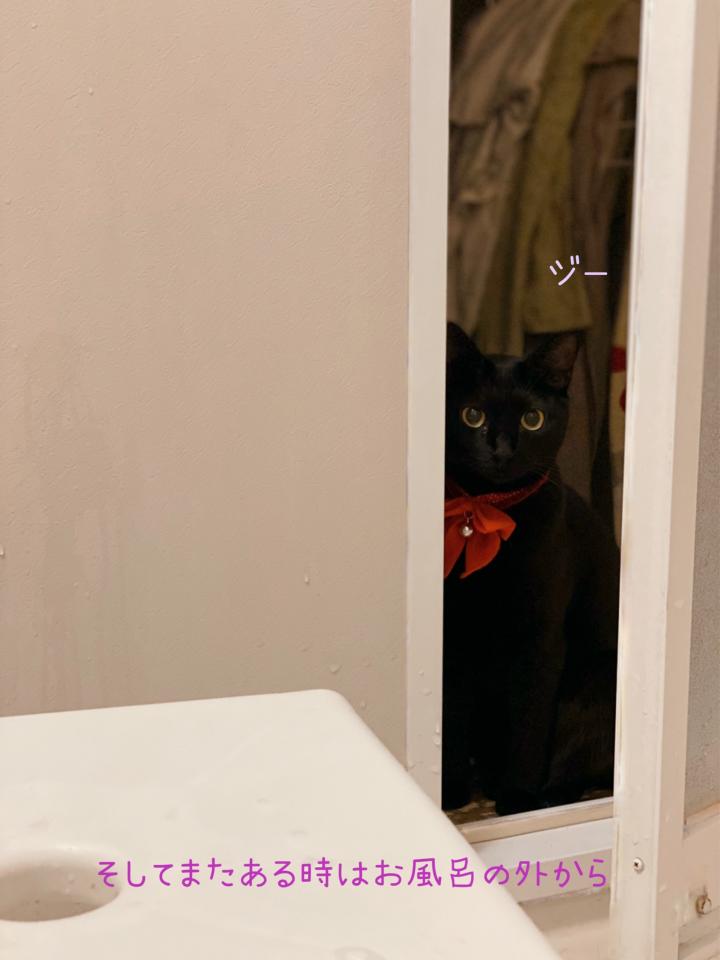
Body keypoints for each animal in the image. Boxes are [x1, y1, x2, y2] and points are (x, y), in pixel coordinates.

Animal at [442, 322, 619, 816]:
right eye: (472, 415)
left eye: (532, 420)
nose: (502, 451)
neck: (490, 513)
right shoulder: (453, 635)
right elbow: (452, 715)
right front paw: (450, 794)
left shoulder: (540, 639)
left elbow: (529, 721)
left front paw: (516, 797)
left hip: (597, 682)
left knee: (576, 764)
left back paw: (545, 793)